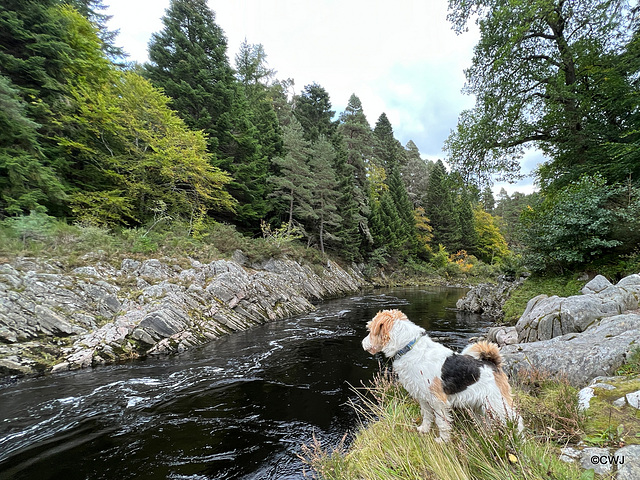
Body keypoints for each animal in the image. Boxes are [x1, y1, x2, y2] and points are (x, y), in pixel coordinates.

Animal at [362, 310, 524, 440]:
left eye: (370, 330)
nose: (362, 343)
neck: (408, 347)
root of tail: (493, 364)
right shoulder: (423, 398)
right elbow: (427, 416)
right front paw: (424, 430)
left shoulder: (438, 401)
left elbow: (442, 423)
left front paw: (443, 440)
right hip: (480, 405)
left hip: (498, 403)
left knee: (517, 420)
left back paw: (520, 440)